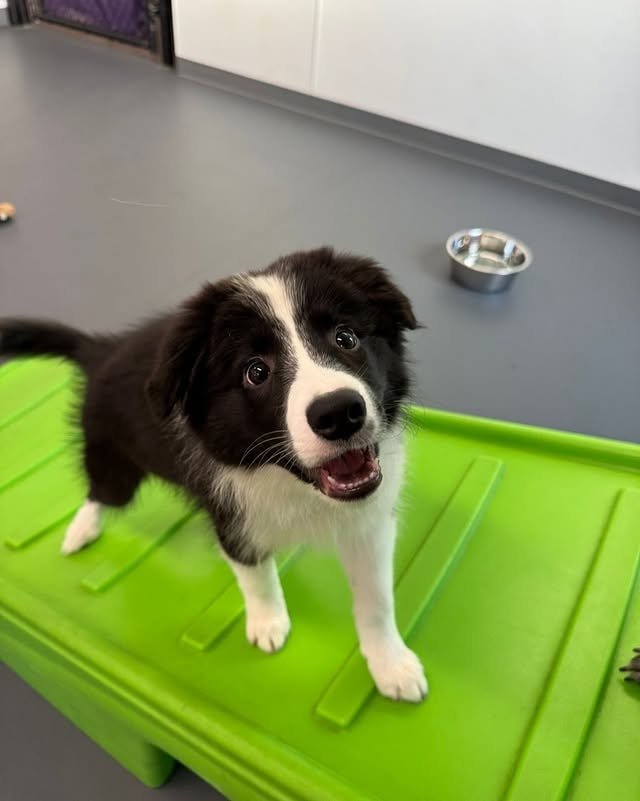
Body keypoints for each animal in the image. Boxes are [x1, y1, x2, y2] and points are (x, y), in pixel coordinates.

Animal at [2, 248, 430, 700]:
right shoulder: (232, 516)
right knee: (100, 492)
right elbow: (255, 575)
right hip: (113, 458)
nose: (339, 412)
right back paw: (80, 531)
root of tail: (102, 349)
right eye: (256, 372)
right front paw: (268, 623)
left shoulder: (370, 522)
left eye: (345, 338)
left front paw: (390, 663)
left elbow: (376, 598)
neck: (292, 483)